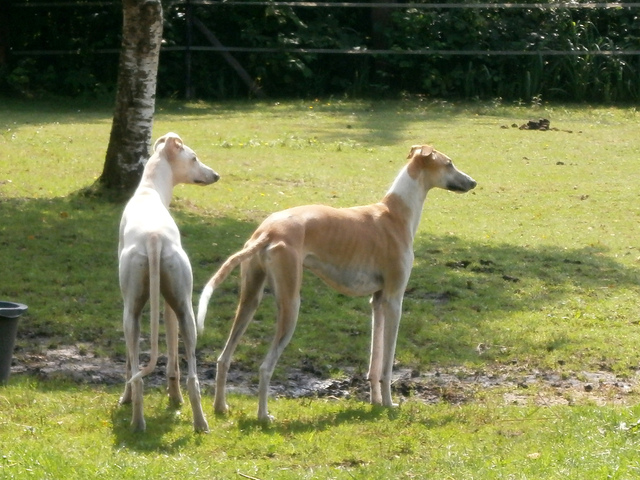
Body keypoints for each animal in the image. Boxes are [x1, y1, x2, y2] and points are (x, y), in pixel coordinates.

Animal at [118, 131, 220, 432]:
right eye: (194, 158)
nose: (216, 175)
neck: (149, 190)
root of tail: (153, 238)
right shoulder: (171, 304)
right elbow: (173, 358)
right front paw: (174, 398)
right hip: (186, 311)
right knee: (193, 377)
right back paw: (200, 423)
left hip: (131, 313)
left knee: (135, 371)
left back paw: (136, 420)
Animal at [199, 144, 476, 422]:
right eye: (449, 163)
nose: (473, 182)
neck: (395, 214)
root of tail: (268, 231)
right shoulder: (394, 300)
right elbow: (387, 363)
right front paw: (388, 403)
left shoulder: (377, 301)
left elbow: (374, 362)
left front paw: (375, 402)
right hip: (291, 303)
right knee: (266, 366)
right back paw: (264, 416)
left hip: (250, 298)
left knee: (224, 357)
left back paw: (220, 407)